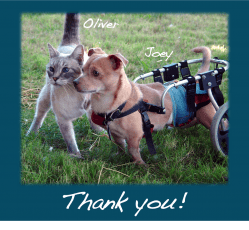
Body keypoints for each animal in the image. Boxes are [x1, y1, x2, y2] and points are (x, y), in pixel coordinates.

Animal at [26, 13, 100, 157]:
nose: (55, 78)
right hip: (44, 98)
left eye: (65, 70)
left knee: (92, 119)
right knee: (38, 117)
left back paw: (99, 133)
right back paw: (31, 134)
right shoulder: (63, 120)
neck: (74, 92)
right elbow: (70, 141)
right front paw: (76, 156)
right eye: (51, 69)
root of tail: (69, 44)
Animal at [72, 46, 216, 164]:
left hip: (207, 117)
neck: (115, 105)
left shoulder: (135, 136)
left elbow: (133, 151)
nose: (74, 82)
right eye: (82, 70)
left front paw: (140, 165)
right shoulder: (116, 134)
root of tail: (196, 79)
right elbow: (120, 146)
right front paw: (119, 156)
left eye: (96, 73)